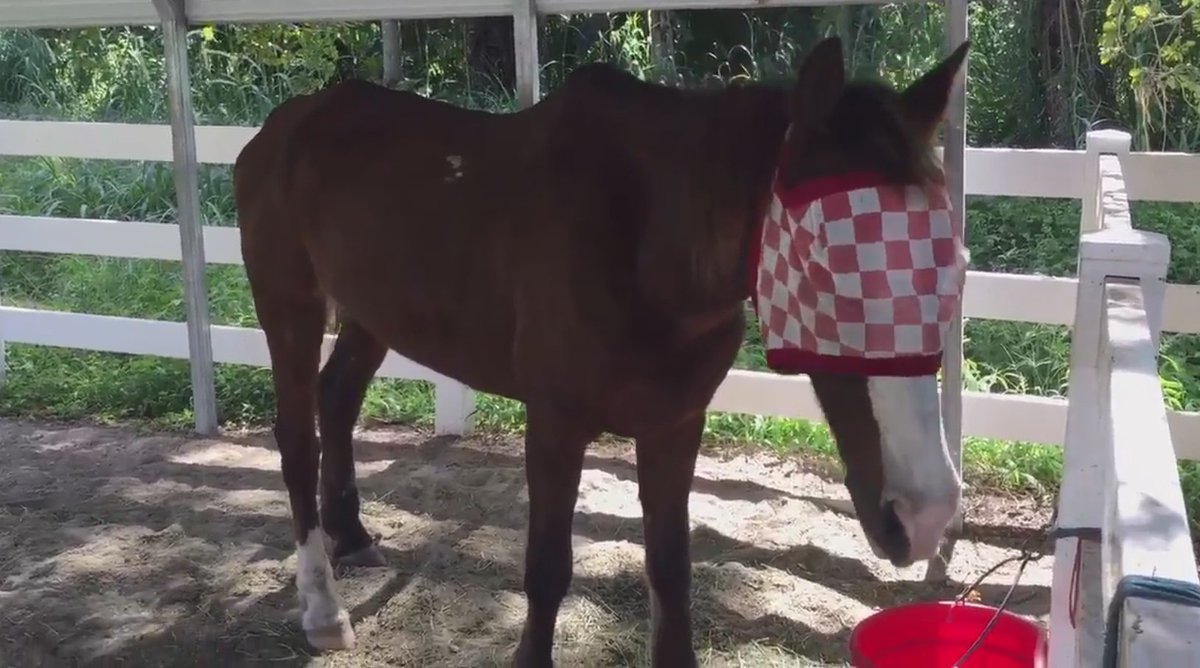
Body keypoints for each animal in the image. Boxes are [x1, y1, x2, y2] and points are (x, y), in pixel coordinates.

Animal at [233, 36, 970, 666]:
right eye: (827, 263)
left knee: (337, 397)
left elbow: (670, 572)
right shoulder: (555, 425)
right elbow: (546, 570)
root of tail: (279, 129)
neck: (645, 241)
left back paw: (352, 537)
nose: (925, 515)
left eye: (954, 265)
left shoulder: (675, 425)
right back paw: (323, 611)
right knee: (297, 436)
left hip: (371, 312)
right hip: (289, 307)